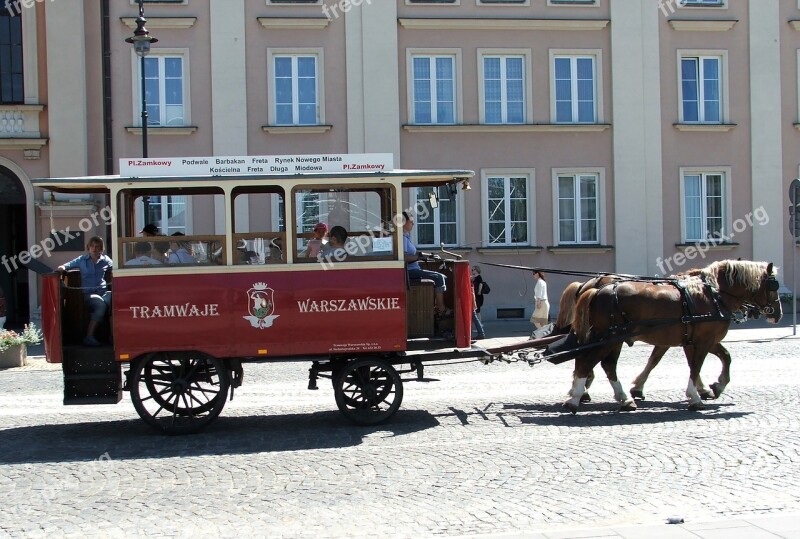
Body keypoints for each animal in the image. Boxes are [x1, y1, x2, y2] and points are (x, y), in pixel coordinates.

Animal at [564, 260, 780, 414]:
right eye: (773, 286)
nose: (777, 314)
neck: (713, 294)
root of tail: (596, 288)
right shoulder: (703, 340)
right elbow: (696, 366)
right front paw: (697, 395)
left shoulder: (695, 340)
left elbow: (718, 358)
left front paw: (713, 387)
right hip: (608, 338)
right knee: (587, 362)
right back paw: (575, 398)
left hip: (613, 339)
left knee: (606, 365)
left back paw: (623, 398)